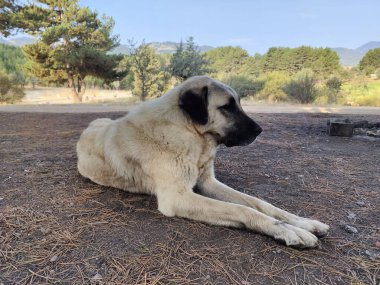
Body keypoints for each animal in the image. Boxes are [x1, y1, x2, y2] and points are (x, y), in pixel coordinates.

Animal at [76, 75, 330, 246]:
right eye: (227, 107)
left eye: (239, 104)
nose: (260, 130)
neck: (189, 133)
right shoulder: (177, 198)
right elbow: (243, 209)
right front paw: (290, 232)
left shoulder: (208, 183)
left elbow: (259, 203)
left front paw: (303, 223)